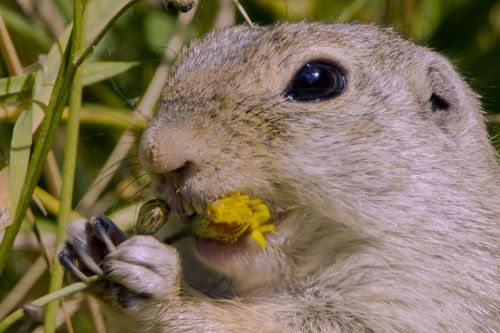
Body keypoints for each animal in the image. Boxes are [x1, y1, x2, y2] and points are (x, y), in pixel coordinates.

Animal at [59, 22, 500, 330]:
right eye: (187, 58)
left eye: (315, 80)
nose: (158, 153)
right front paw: (89, 241)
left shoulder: (423, 300)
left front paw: (163, 284)